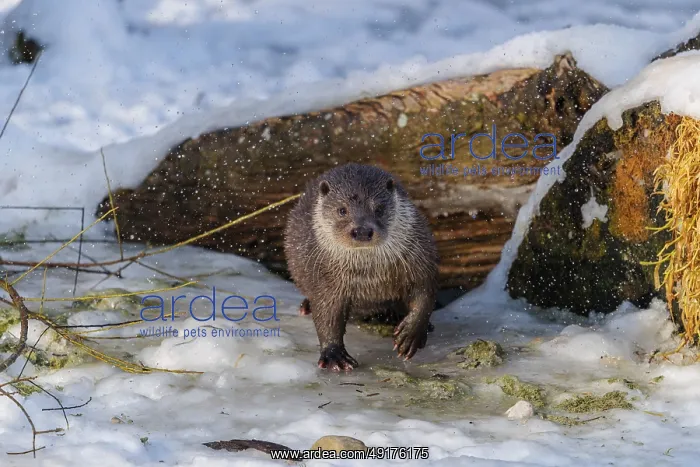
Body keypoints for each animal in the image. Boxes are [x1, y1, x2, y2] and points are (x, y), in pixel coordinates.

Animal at [283, 163, 438, 371]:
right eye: (342, 210)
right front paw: (334, 354)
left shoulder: (419, 260)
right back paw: (306, 306)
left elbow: (425, 295)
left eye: (379, 209)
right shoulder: (326, 280)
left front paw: (411, 334)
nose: (362, 230)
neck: (370, 277)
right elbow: (327, 315)